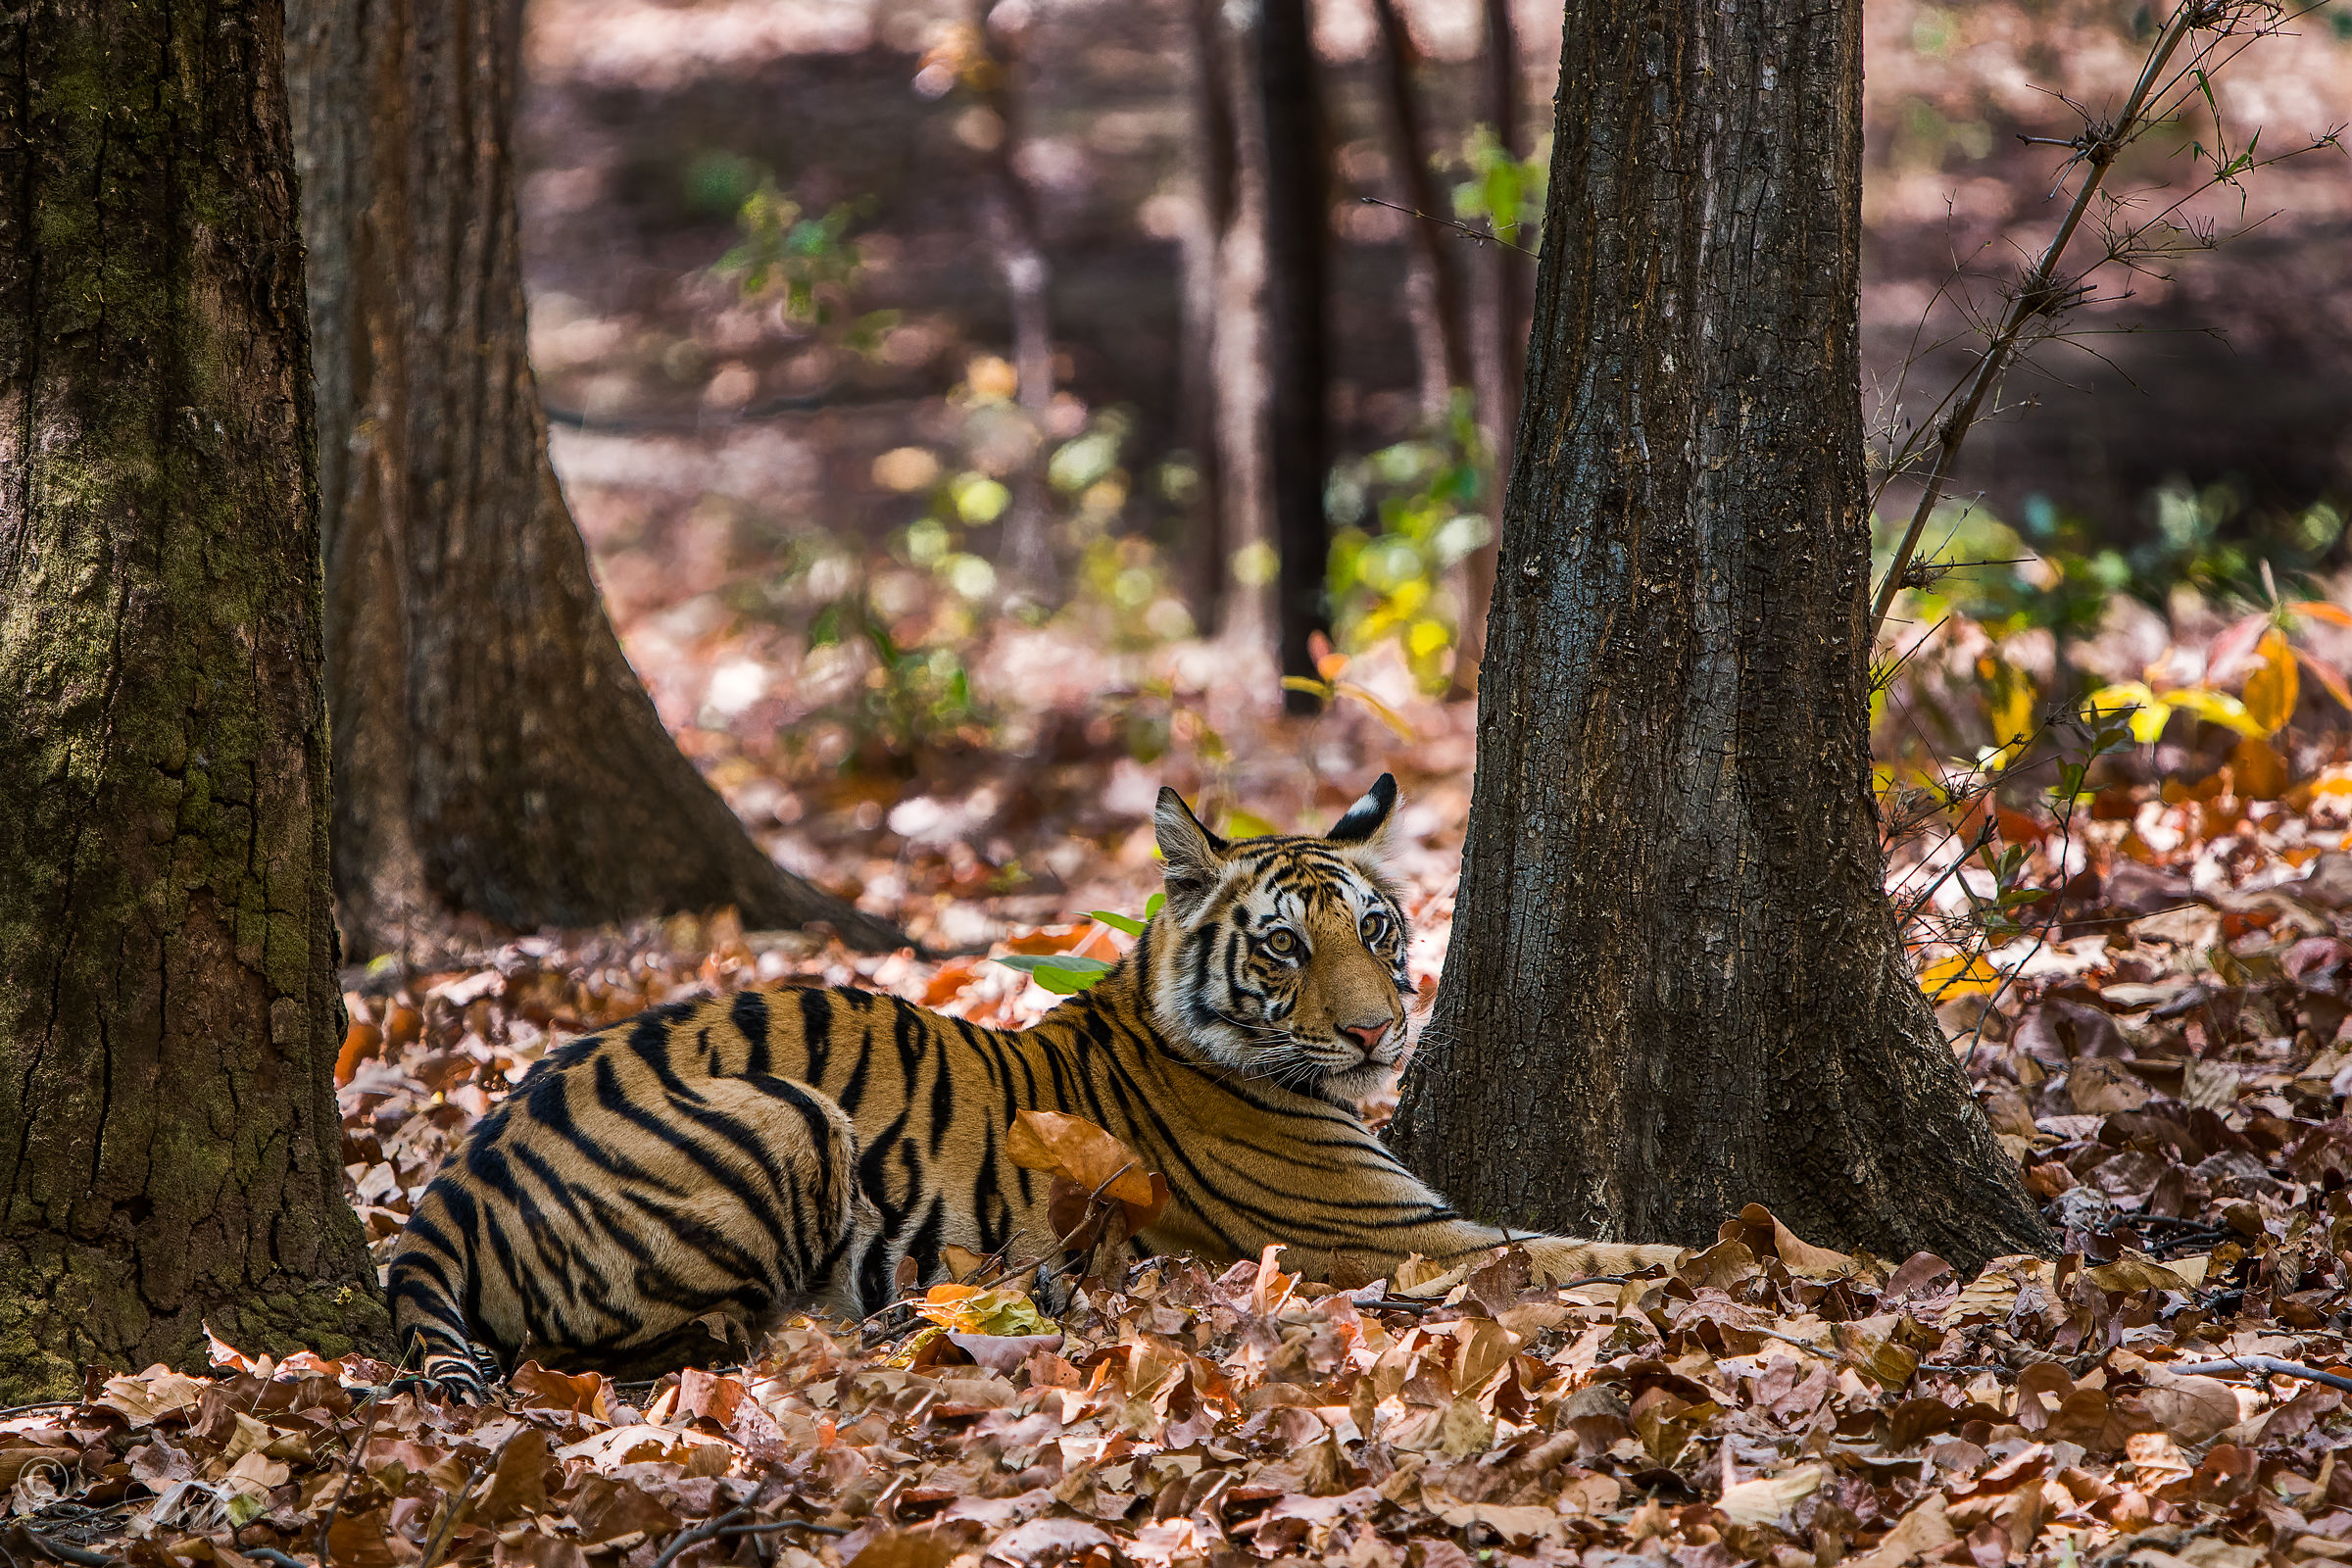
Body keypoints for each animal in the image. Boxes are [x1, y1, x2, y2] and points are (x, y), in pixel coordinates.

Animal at [387, 775, 1680, 1398]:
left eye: (1374, 928)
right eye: (1283, 947)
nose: (1376, 1032)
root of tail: (455, 1178)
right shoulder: (1396, 1238)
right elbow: (1596, 1253)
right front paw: (1733, 1261)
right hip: (783, 1117)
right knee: (662, 1350)